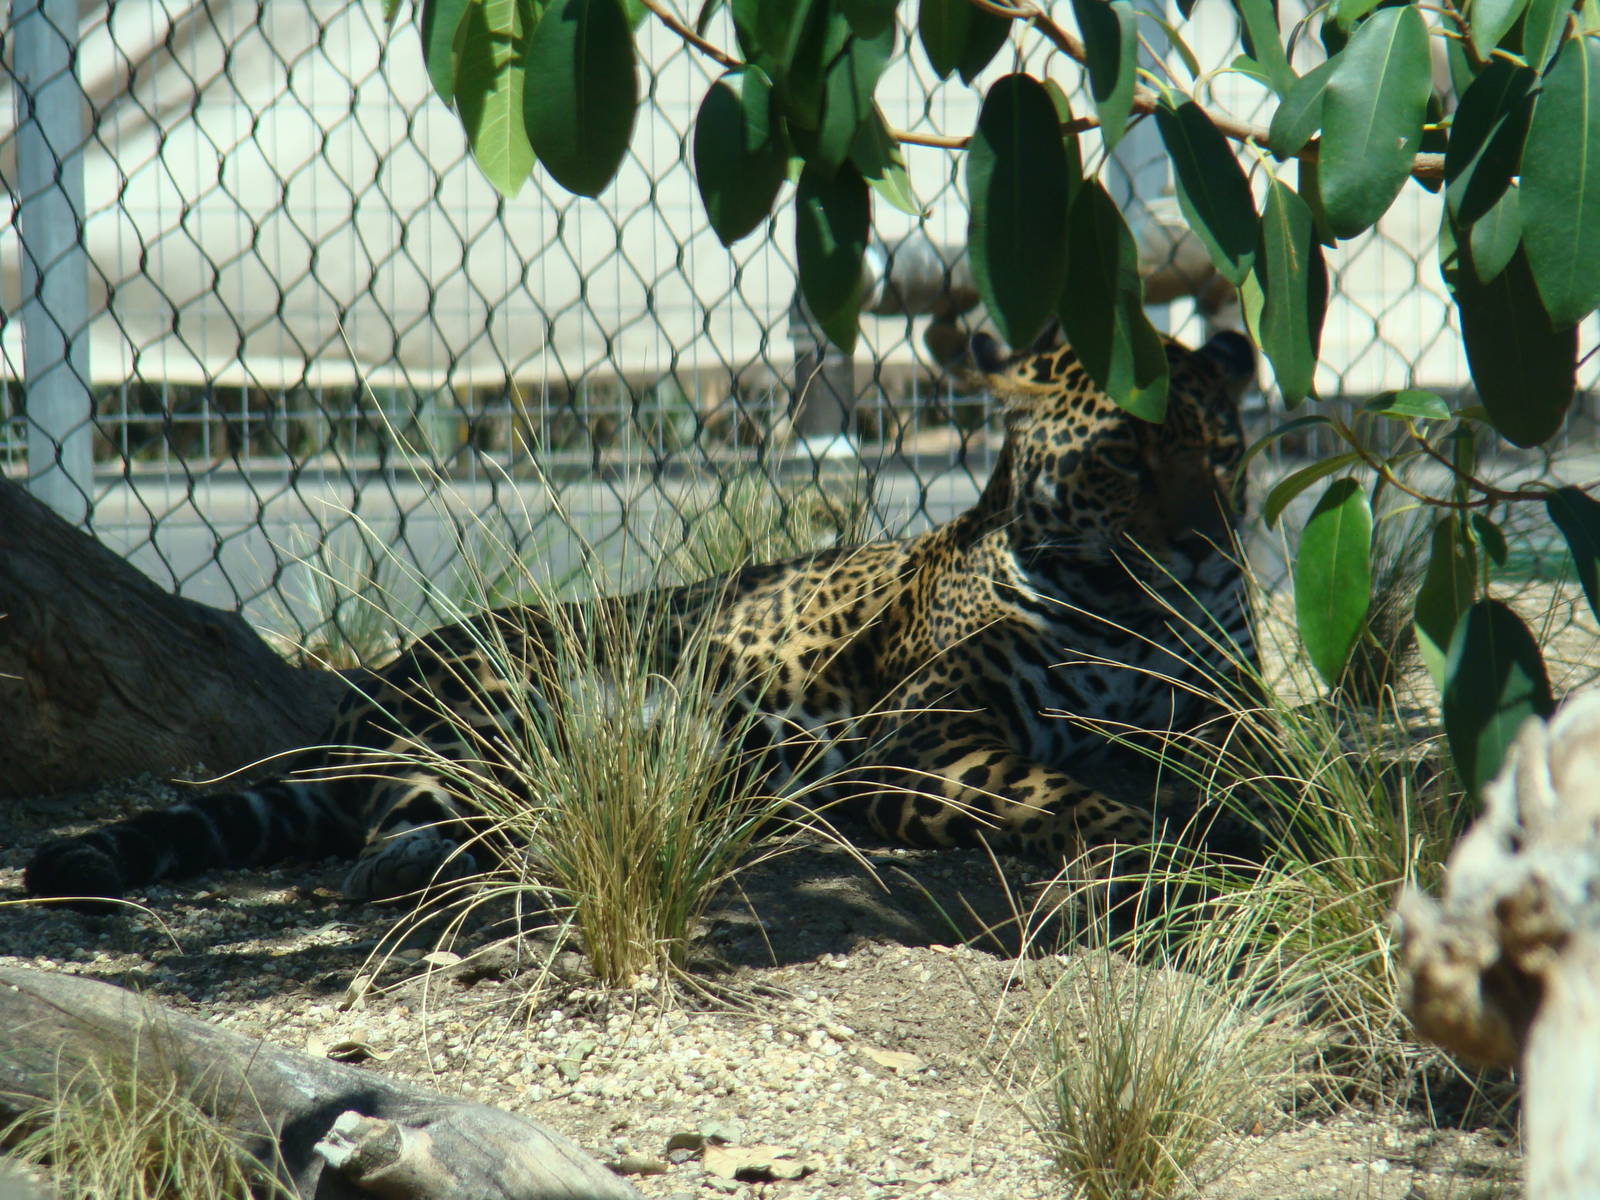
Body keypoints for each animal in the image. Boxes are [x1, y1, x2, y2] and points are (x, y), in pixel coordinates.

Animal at [24, 329, 1260, 909]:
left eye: (1224, 450)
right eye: (1122, 458)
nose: (1204, 543)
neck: (1135, 617)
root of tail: (363, 697)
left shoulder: (1231, 716)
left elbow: (1264, 772)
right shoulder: (919, 744)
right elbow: (1064, 792)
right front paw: (1159, 844)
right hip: (494, 705)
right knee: (399, 828)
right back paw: (456, 859)